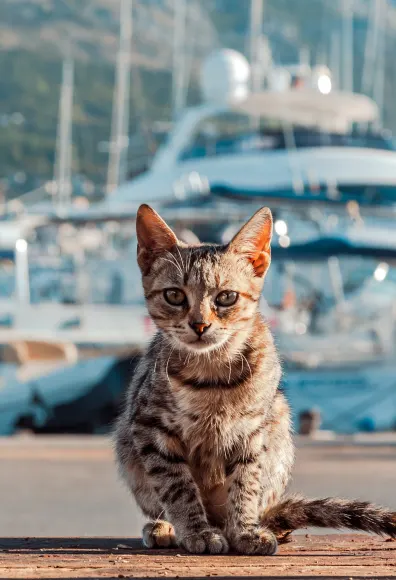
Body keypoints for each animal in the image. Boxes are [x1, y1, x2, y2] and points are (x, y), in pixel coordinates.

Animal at [114, 206, 396, 556]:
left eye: (226, 297)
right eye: (174, 295)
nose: (199, 325)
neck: (211, 374)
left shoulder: (251, 429)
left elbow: (246, 482)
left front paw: (244, 529)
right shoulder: (150, 426)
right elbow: (177, 486)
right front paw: (197, 530)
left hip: (280, 419)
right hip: (127, 445)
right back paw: (166, 527)